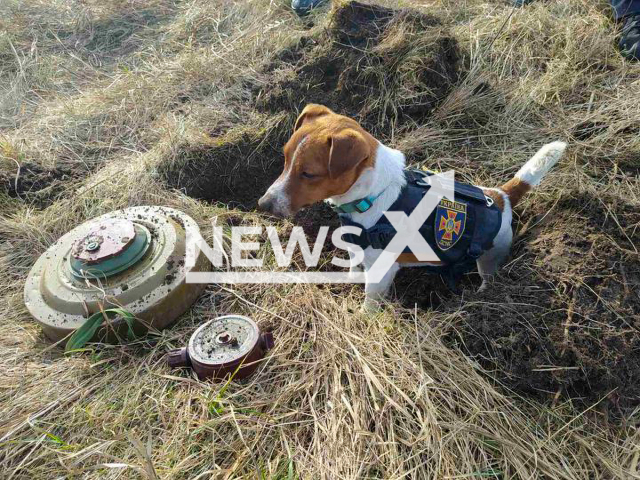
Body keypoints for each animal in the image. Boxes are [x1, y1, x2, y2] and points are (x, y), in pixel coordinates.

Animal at [258, 103, 568, 310]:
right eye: (285, 158)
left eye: (308, 174)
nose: (263, 204)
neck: (374, 194)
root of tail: (501, 196)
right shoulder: (358, 249)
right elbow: (354, 269)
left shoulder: (382, 271)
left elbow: (370, 300)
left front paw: (364, 316)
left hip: (491, 258)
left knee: (488, 277)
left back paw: (481, 296)